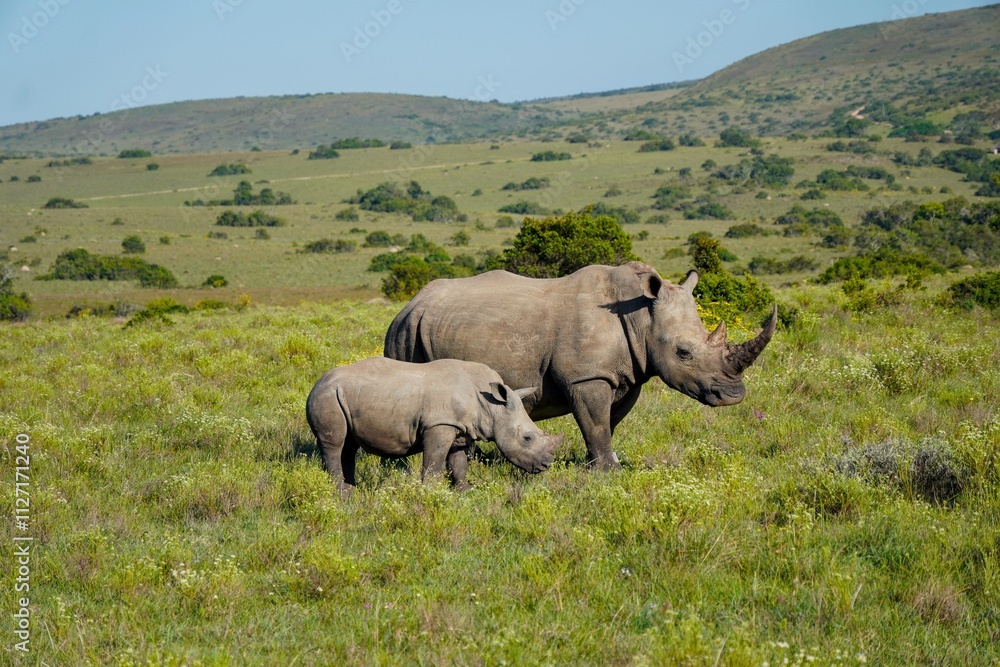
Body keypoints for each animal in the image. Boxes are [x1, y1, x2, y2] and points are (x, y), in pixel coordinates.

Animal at [306, 357, 564, 491]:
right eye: (527, 438)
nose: (545, 465)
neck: (492, 406)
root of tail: (317, 382)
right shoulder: (439, 425)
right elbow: (435, 461)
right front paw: (431, 492)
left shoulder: (460, 427)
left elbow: (458, 462)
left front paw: (464, 490)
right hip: (327, 395)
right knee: (335, 443)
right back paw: (340, 492)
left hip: (341, 396)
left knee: (348, 446)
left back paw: (351, 490)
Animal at [384, 262, 776, 470]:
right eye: (683, 352)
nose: (733, 396)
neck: (640, 317)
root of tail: (410, 302)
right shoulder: (587, 376)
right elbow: (596, 423)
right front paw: (609, 472)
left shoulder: (628, 375)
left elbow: (606, 423)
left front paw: (597, 464)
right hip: (404, 331)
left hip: (422, 325)